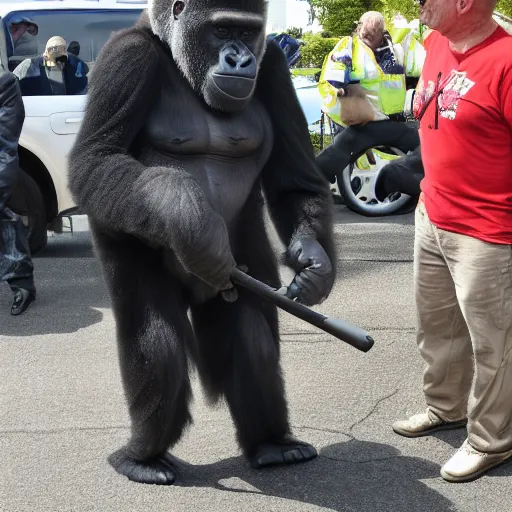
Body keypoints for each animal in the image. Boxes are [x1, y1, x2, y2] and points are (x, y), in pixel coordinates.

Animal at [68, 0, 336, 486]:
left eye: (247, 33)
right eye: (222, 30)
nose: (240, 59)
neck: (178, 59)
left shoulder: (273, 66)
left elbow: (294, 180)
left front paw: (314, 265)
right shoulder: (125, 60)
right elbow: (97, 159)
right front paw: (185, 215)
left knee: (250, 333)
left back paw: (272, 443)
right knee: (156, 342)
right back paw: (143, 454)